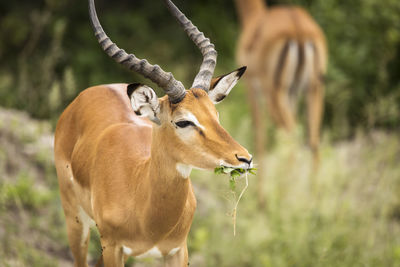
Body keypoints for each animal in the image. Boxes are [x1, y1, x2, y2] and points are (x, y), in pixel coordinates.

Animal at [54, 0, 252, 267]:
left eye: (215, 114)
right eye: (183, 122)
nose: (244, 158)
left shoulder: (178, 250)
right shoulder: (113, 247)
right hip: (75, 220)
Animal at [234, 0, 328, 205]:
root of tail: (298, 28)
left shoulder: (251, 90)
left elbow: (259, 137)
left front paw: (261, 199)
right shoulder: (292, 95)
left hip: (274, 95)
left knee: (291, 140)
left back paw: (286, 199)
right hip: (313, 90)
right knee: (314, 142)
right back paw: (313, 201)